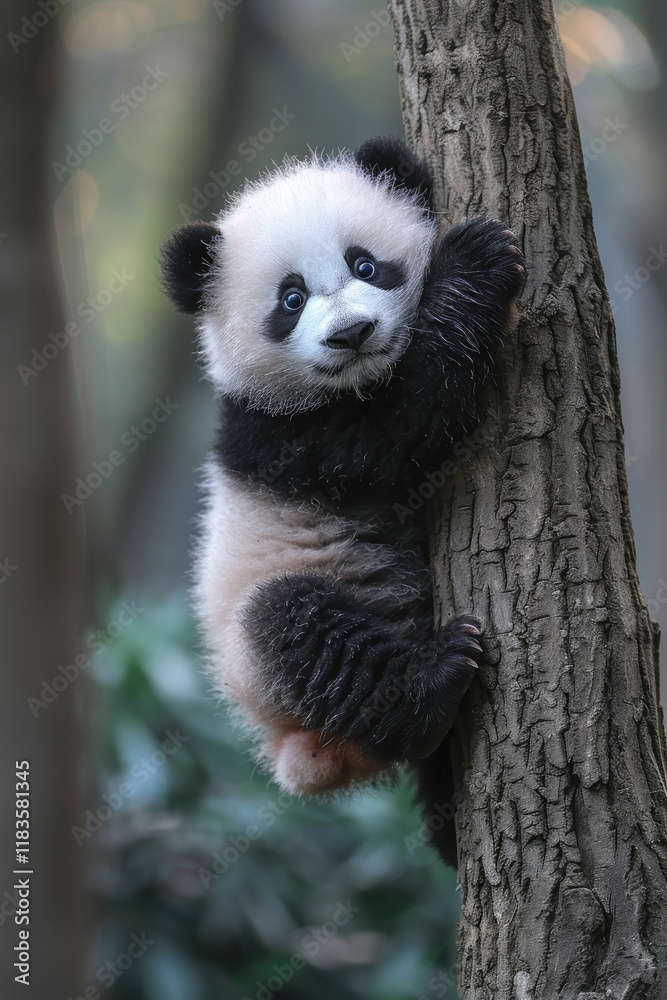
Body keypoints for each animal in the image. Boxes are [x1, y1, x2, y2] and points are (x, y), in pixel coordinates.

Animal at [160, 136, 524, 865]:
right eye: (291, 298)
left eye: (365, 264)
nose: (351, 333)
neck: (352, 380)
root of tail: (300, 757)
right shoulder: (282, 435)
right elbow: (401, 425)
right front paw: (476, 260)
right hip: (261, 648)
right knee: (298, 630)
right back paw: (434, 682)